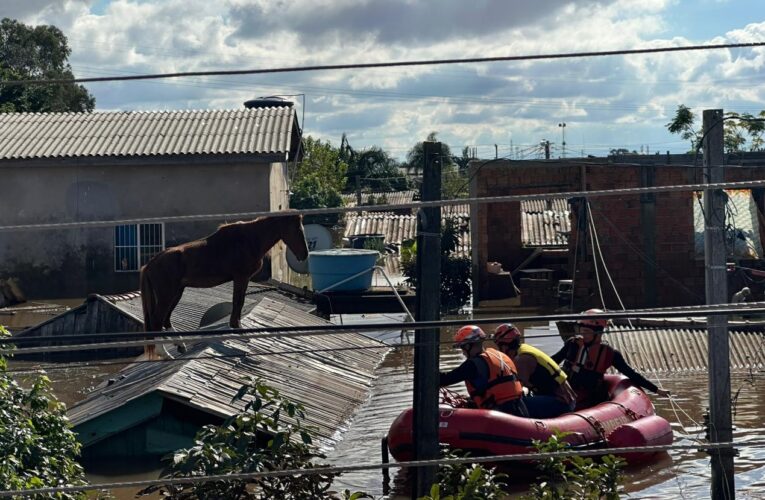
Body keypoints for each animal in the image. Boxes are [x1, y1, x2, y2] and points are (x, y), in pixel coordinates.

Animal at [140, 213, 308, 358]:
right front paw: (239, 329)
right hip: (167, 294)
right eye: (297, 229)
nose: (304, 255)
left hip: (176, 292)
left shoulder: (241, 279)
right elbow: (238, 302)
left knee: (165, 319)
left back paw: (180, 345)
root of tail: (150, 264)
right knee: (157, 320)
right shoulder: (241, 278)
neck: (250, 239)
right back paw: (164, 353)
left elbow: (238, 302)